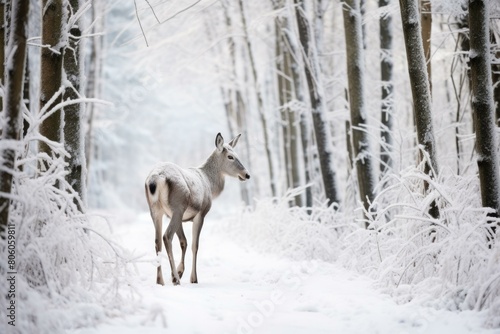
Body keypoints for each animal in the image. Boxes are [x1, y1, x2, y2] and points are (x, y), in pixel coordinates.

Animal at [145, 132, 250, 284]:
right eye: (230, 156)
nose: (247, 174)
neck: (210, 185)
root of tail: (156, 178)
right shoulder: (201, 213)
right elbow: (195, 245)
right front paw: (192, 278)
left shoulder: (176, 216)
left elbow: (184, 242)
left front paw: (180, 271)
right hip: (178, 206)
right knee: (166, 236)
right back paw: (176, 279)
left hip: (155, 209)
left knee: (157, 240)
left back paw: (161, 280)